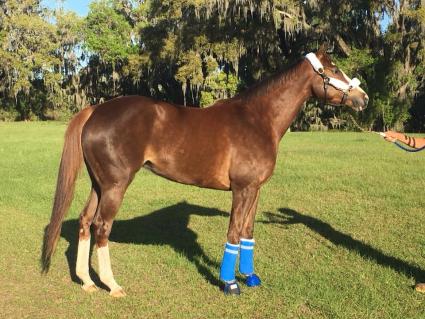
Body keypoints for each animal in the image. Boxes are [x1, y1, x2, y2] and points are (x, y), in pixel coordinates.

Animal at [42, 47, 368, 298]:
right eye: (334, 69)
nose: (363, 98)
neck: (257, 119)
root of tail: (95, 110)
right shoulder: (242, 189)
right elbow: (234, 233)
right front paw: (230, 284)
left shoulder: (255, 189)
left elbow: (248, 232)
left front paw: (251, 277)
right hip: (115, 186)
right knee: (102, 227)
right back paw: (112, 285)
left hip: (99, 185)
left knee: (85, 221)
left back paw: (86, 281)